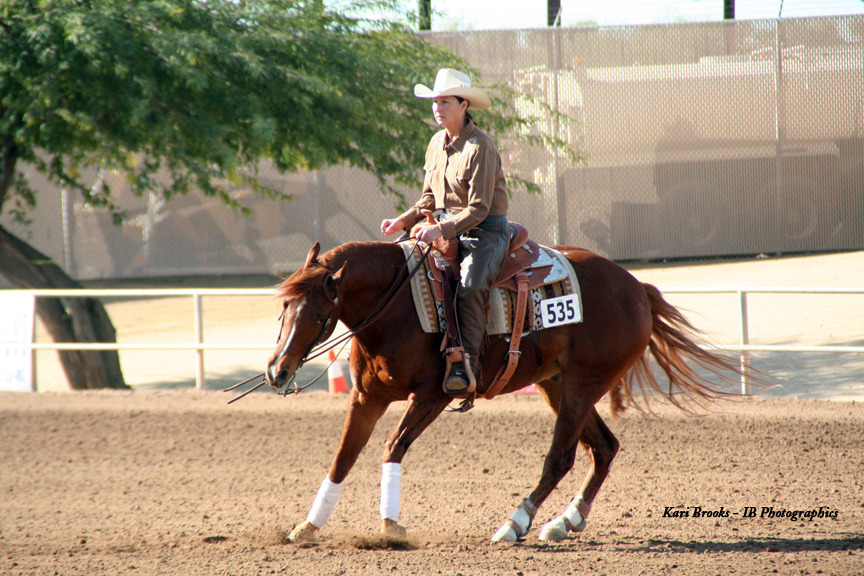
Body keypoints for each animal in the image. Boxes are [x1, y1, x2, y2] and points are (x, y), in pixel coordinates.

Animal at [265, 240, 740, 543]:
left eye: (318, 316)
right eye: (284, 307)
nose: (277, 371)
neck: (399, 306)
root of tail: (637, 288)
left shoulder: (433, 396)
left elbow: (392, 448)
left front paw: (390, 526)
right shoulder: (367, 398)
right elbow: (343, 457)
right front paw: (308, 527)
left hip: (582, 386)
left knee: (561, 458)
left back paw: (515, 524)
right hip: (556, 384)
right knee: (604, 448)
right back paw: (564, 522)